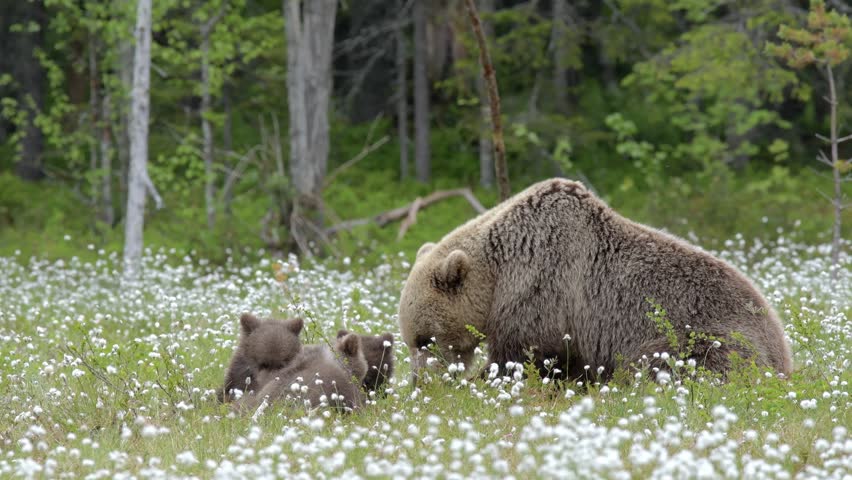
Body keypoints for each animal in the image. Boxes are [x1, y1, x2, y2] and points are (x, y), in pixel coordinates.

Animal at [398, 178, 793, 385]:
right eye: (411, 339)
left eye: (424, 339)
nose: (420, 380)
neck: (497, 273)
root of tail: (783, 352)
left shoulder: (543, 285)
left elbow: (523, 354)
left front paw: (484, 379)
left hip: (710, 335)